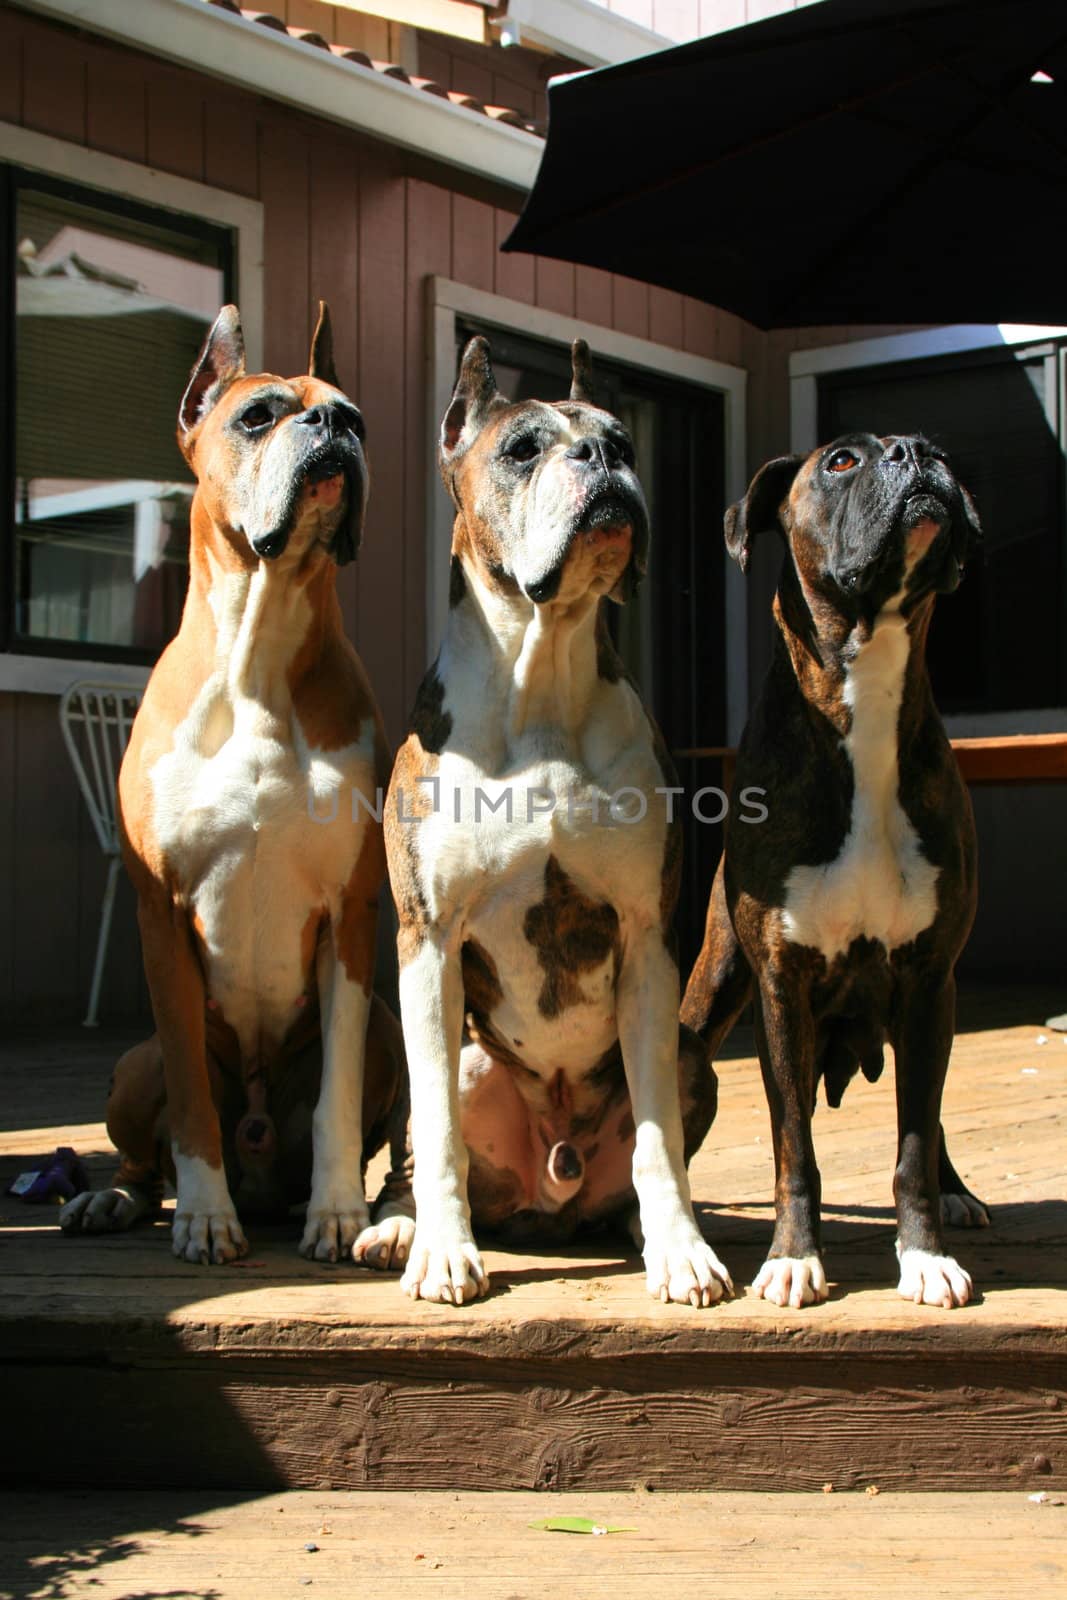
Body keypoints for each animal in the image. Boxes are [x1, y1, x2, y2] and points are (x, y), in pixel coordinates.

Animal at [57, 305, 415, 1267]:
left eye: (357, 417)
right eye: (257, 417)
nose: (332, 427)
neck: (259, 643)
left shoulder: (350, 915)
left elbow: (336, 1098)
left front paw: (338, 1211)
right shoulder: (161, 917)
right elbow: (190, 1100)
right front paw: (203, 1215)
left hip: (392, 1030)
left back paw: (390, 1216)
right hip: (132, 1062)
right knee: (147, 1145)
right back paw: (118, 1199)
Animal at [385, 337, 735, 1299]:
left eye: (622, 439)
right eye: (520, 450)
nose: (601, 461)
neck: (538, 680)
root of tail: (553, 1187)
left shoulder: (648, 939)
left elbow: (659, 1138)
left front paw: (681, 1248)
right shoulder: (426, 942)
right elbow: (435, 1129)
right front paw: (443, 1250)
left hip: (689, 1053)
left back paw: (638, 1227)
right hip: (466, 1056)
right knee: (424, 1143)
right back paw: (398, 1226)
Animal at [684, 432, 985, 1305]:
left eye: (936, 448)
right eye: (841, 463)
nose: (915, 453)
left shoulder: (927, 980)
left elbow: (913, 1145)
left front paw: (922, 1255)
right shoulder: (780, 986)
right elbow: (794, 1148)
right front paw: (792, 1258)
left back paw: (958, 1193)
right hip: (714, 987)